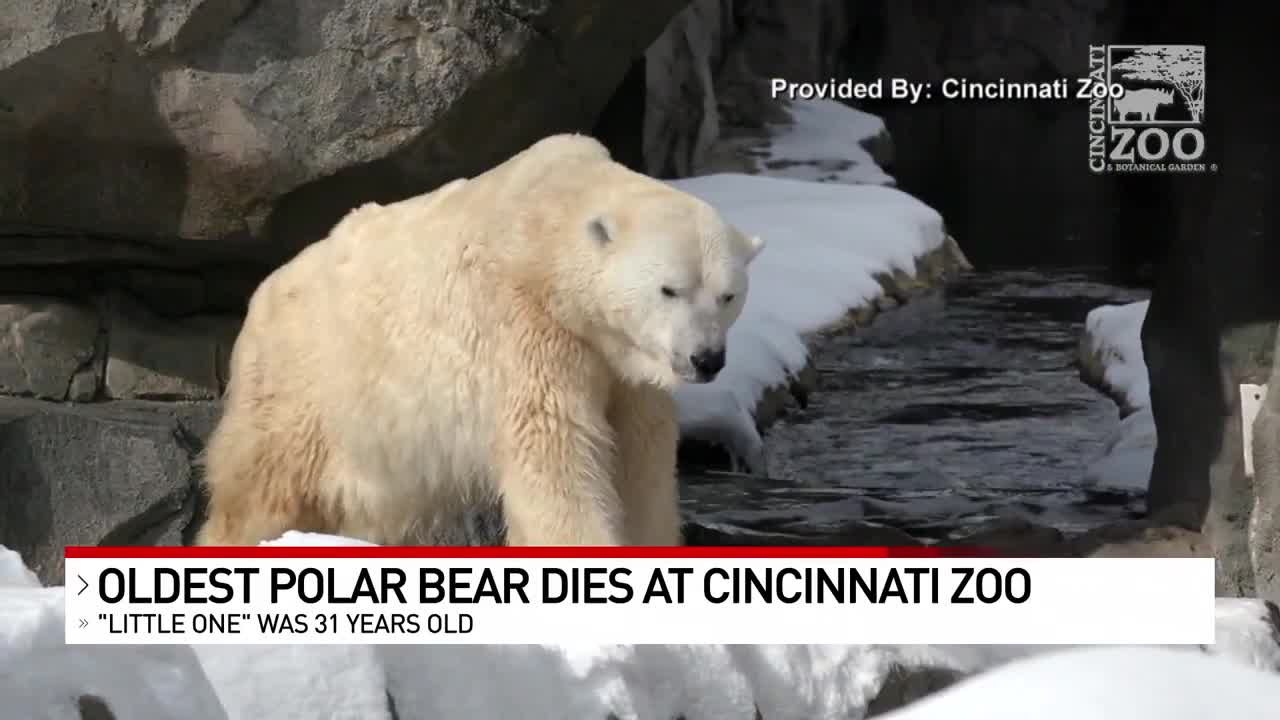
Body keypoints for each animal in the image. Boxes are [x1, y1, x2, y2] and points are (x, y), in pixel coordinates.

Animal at [194, 133, 762, 543]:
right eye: (670, 288)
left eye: (728, 295)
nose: (706, 358)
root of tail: (262, 296)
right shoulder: (523, 328)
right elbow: (556, 452)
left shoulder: (624, 366)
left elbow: (640, 456)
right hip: (307, 387)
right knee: (258, 491)